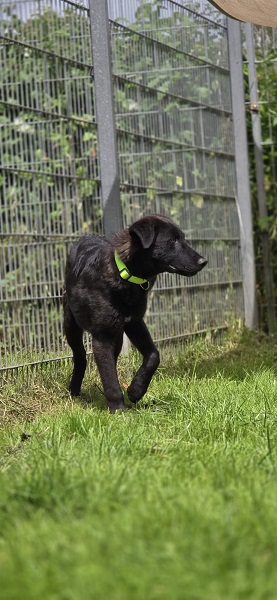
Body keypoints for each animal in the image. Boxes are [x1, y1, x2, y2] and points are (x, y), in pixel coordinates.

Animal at [62, 214, 205, 412]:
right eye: (173, 240)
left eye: (182, 238)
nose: (203, 262)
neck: (125, 275)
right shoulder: (102, 337)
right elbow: (109, 377)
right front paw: (118, 409)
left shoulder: (134, 323)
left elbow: (153, 356)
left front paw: (135, 391)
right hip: (71, 324)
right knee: (80, 356)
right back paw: (74, 390)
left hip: (118, 336)